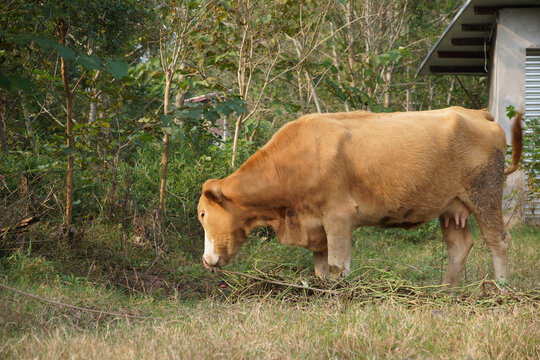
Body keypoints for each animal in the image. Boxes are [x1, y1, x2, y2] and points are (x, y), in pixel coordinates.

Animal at [198, 107, 524, 286]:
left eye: (202, 214)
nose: (206, 259)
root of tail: (476, 113)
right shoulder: (316, 226)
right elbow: (321, 270)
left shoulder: (340, 214)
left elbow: (337, 266)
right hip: (450, 206)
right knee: (459, 246)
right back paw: (445, 291)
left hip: (485, 195)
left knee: (498, 242)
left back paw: (501, 290)